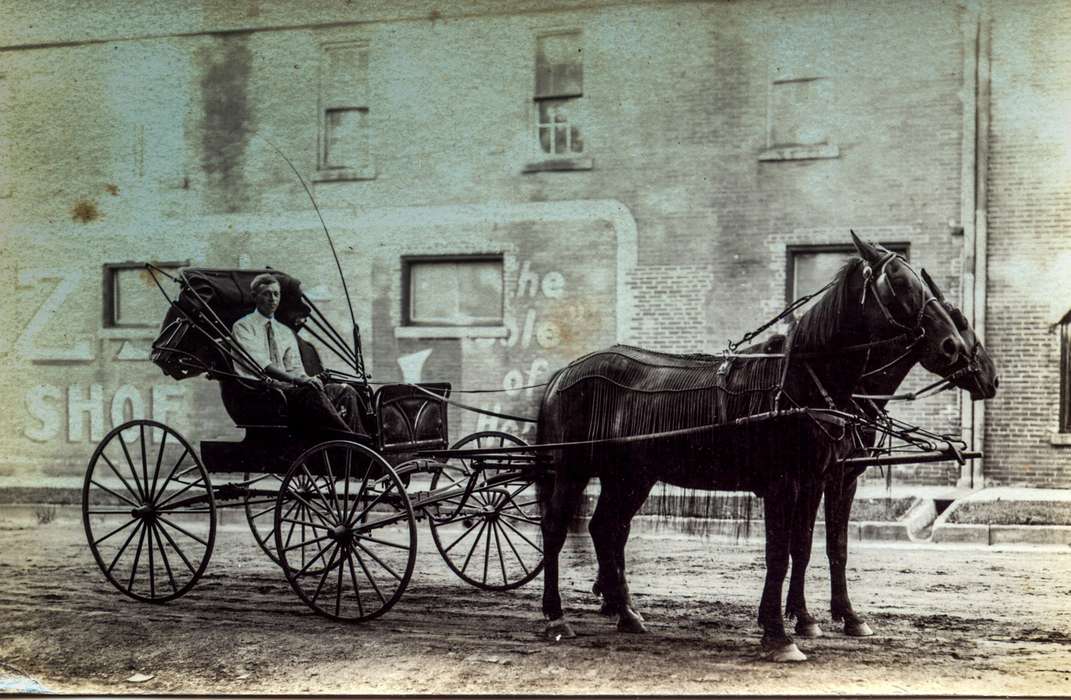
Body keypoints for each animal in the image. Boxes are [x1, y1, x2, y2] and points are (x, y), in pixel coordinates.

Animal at [535, 235, 972, 663]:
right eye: (899, 282)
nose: (954, 347)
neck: (798, 384)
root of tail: (565, 373)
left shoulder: (814, 479)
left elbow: (804, 548)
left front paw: (795, 621)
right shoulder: (786, 483)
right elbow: (780, 554)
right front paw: (780, 635)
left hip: (630, 477)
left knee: (606, 528)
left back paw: (626, 613)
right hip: (572, 468)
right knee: (556, 530)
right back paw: (556, 617)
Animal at [783, 267, 998, 642]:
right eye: (961, 320)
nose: (993, 378)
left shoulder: (843, 477)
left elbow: (836, 546)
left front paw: (847, 615)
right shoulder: (812, 475)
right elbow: (803, 543)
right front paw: (803, 616)